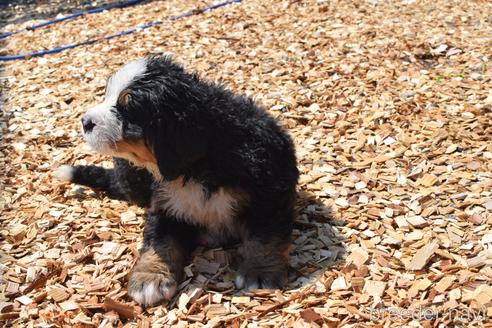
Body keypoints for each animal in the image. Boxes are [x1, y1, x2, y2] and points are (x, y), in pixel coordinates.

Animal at [55, 55, 298, 306]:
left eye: (128, 109)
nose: (85, 121)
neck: (196, 168)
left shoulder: (269, 193)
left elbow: (264, 236)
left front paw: (259, 272)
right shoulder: (165, 205)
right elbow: (160, 242)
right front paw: (149, 278)